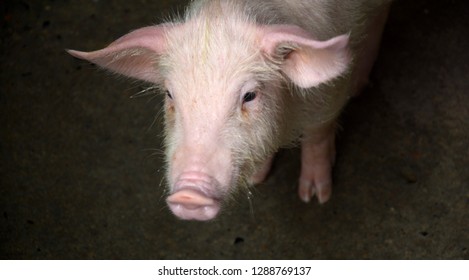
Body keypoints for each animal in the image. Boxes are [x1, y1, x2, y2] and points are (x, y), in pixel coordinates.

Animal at [68, 0, 392, 221]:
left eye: (249, 95)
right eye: (170, 94)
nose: (189, 194)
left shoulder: (329, 98)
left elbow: (317, 136)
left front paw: (314, 197)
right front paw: (256, 180)